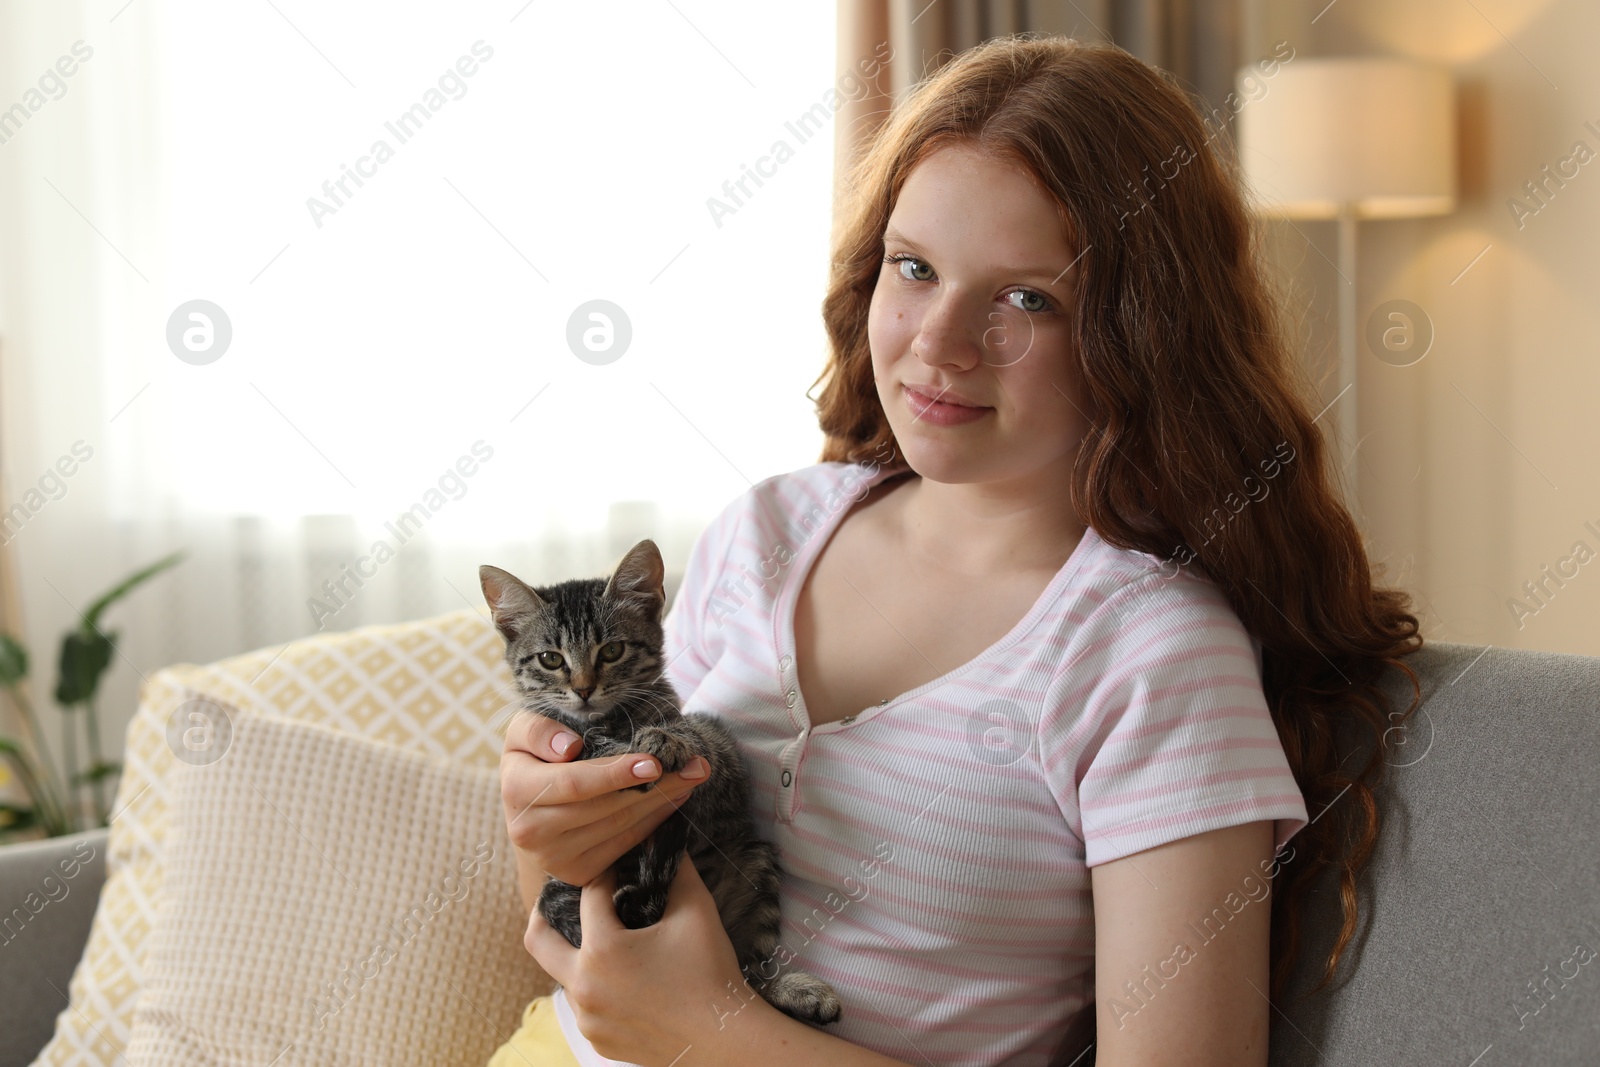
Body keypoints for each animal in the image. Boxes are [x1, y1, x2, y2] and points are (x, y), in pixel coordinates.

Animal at [480, 543, 844, 1023]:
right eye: (551, 659)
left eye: (612, 651)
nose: (583, 689)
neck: (611, 720)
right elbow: (586, 745)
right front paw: (618, 746)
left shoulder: (723, 766)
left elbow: (704, 739)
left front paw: (668, 738)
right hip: (559, 892)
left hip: (755, 861)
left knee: (744, 974)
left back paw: (794, 990)